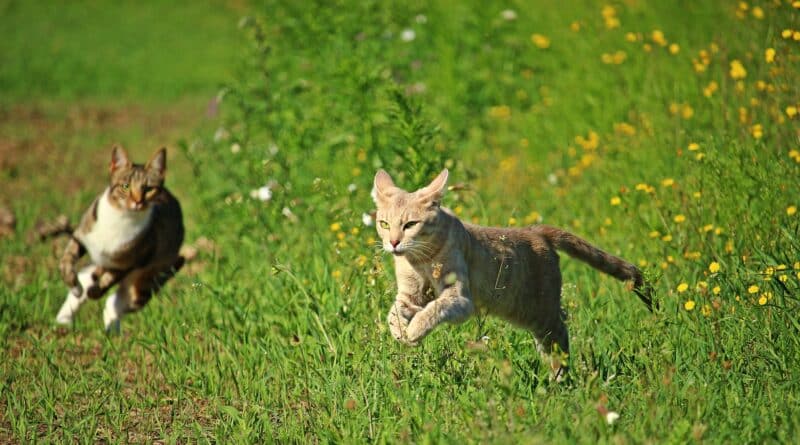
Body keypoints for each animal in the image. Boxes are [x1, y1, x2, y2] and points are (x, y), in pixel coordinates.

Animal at [372, 168, 652, 376]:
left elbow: (433, 309)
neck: (419, 260)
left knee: (560, 334)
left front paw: (414, 331)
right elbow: (393, 312)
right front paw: (399, 332)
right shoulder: (410, 295)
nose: (393, 242)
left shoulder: (460, 298)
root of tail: (536, 231)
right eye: (384, 224)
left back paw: (560, 380)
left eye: (410, 224)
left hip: (539, 312)